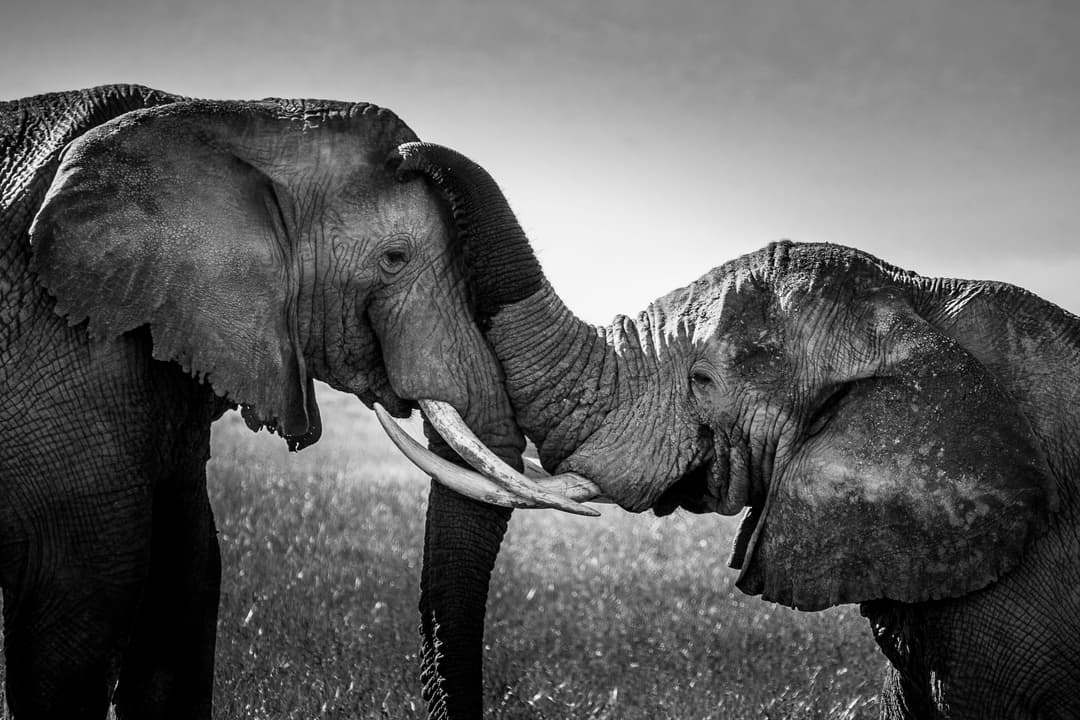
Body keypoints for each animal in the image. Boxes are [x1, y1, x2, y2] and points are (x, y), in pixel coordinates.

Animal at [0, 86, 595, 719]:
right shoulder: (65, 357)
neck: (219, 117)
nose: (412, 153)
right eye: (394, 258)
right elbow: (80, 606)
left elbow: (187, 584)